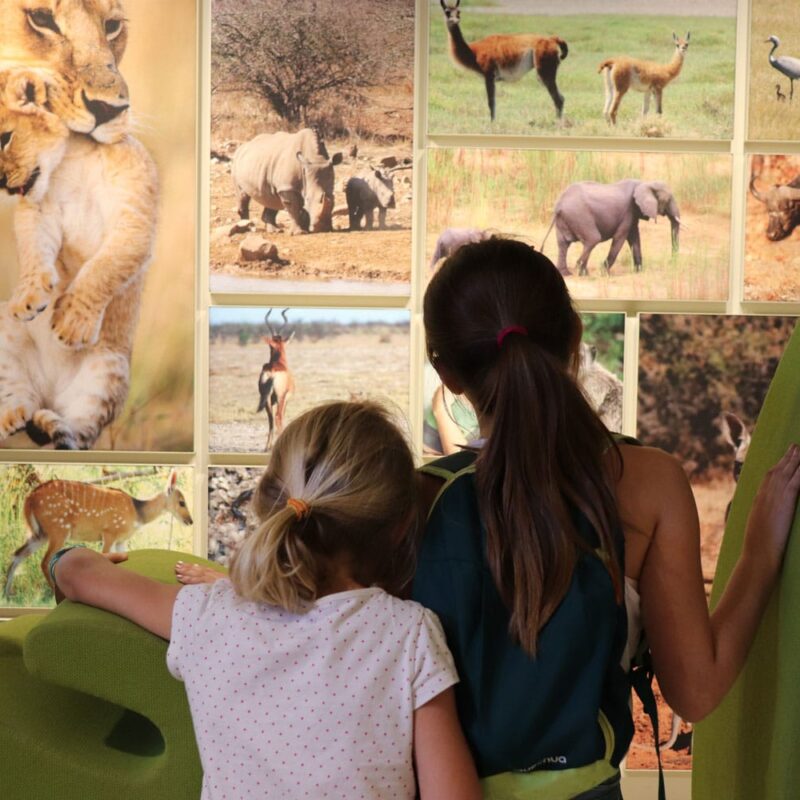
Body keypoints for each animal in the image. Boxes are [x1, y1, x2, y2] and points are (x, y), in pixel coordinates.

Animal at [540, 179, 680, 276]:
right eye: (668, 200)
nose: (671, 263)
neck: (645, 182)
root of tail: (559, 205)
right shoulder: (628, 211)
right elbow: (620, 237)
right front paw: (604, 273)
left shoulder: (633, 213)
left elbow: (634, 238)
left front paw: (638, 271)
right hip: (579, 215)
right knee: (592, 239)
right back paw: (580, 270)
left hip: (564, 219)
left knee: (563, 244)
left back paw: (568, 274)